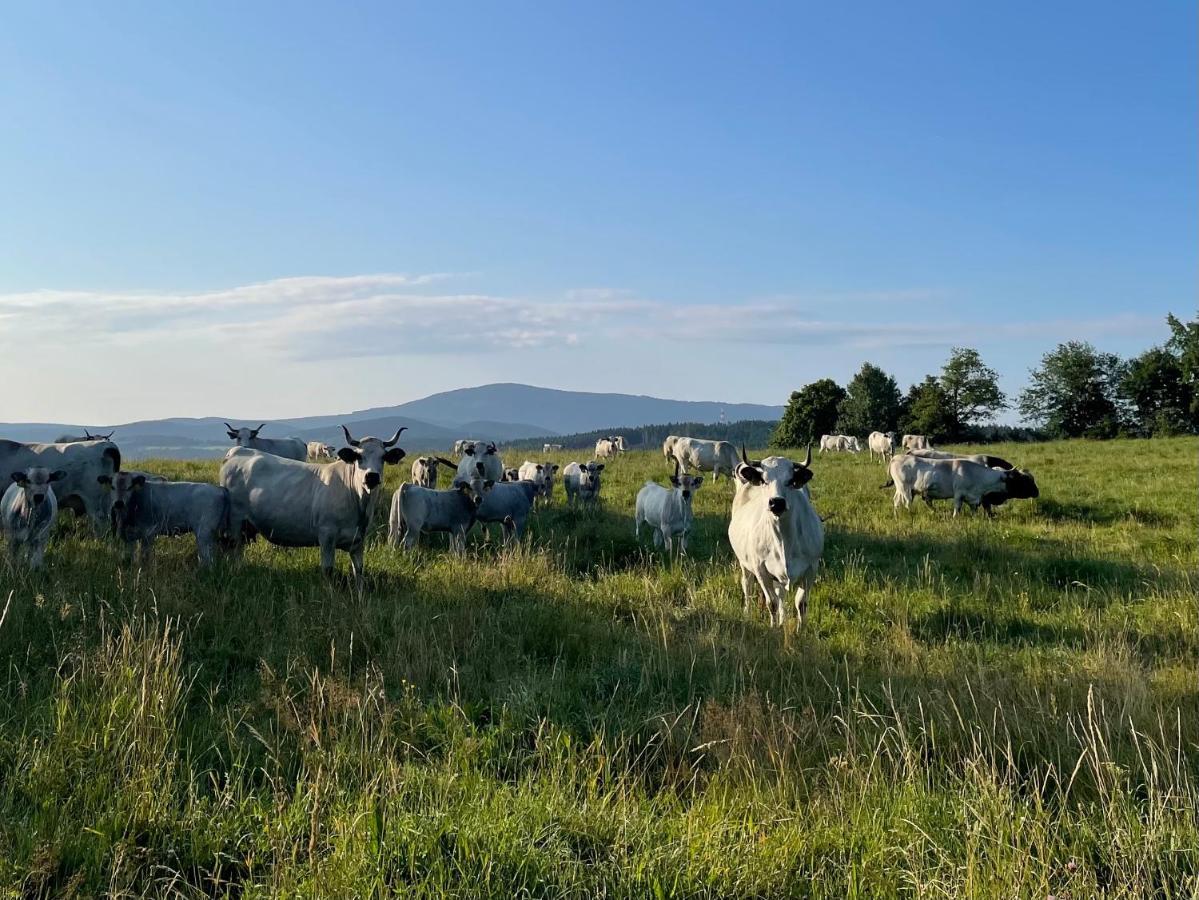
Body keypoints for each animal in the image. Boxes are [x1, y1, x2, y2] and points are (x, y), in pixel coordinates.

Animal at [223, 424, 410, 584]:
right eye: (358, 456)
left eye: (383, 457)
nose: (371, 476)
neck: (358, 504)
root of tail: (238, 450)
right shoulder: (326, 536)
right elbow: (327, 570)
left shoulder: (358, 540)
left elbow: (359, 571)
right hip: (235, 523)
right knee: (234, 551)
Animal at [719, 448, 824, 627]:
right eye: (764, 480)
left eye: (790, 481)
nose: (776, 502)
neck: (784, 539)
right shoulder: (761, 570)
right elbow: (771, 603)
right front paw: (773, 628)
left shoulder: (811, 568)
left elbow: (801, 603)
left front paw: (801, 629)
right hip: (744, 563)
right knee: (747, 586)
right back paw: (747, 612)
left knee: (780, 593)